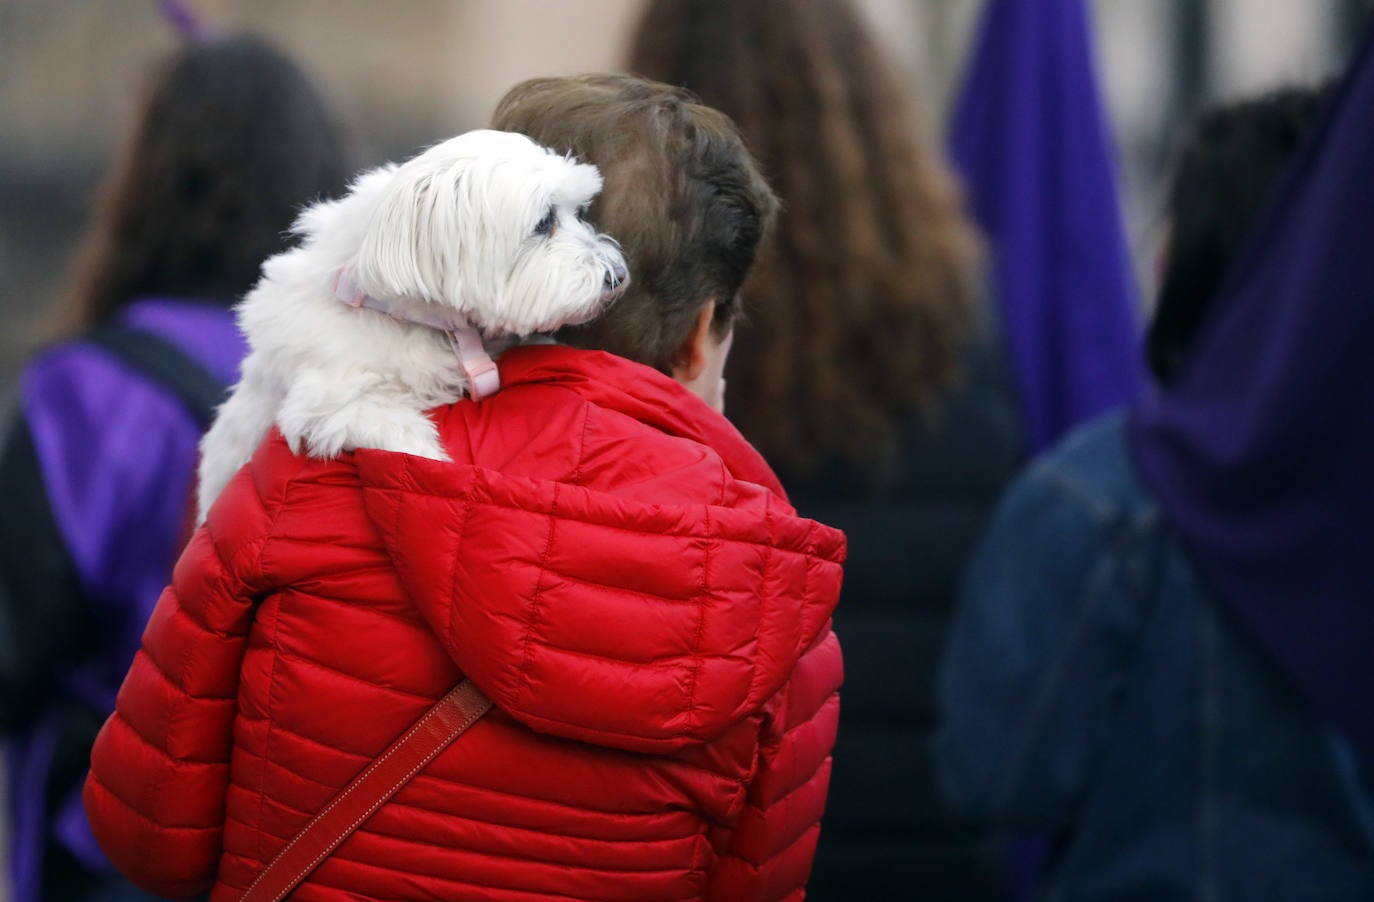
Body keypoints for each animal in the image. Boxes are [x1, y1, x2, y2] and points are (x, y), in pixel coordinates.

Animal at [196, 127, 629, 522]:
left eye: (579, 213)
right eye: (543, 222)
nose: (619, 275)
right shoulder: (326, 403)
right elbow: (393, 427)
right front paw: (430, 467)